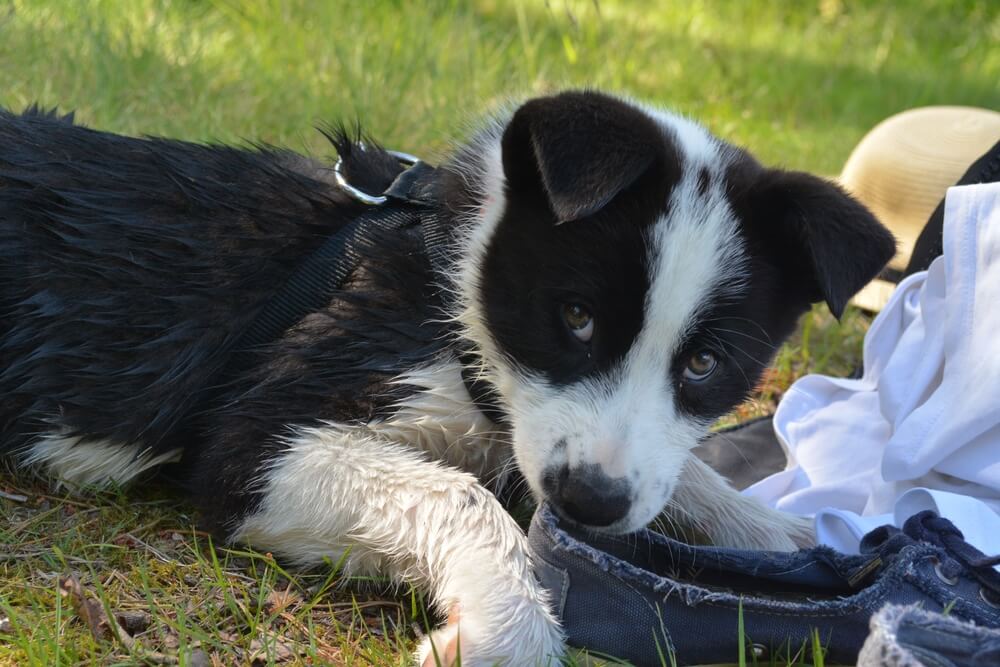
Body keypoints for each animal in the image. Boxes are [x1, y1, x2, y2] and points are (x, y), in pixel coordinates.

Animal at [0, 92, 892, 664]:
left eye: (705, 363)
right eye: (575, 316)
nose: (590, 500)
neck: (451, 296)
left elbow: (684, 474)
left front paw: (781, 534)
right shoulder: (251, 434)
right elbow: (460, 493)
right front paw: (503, 626)